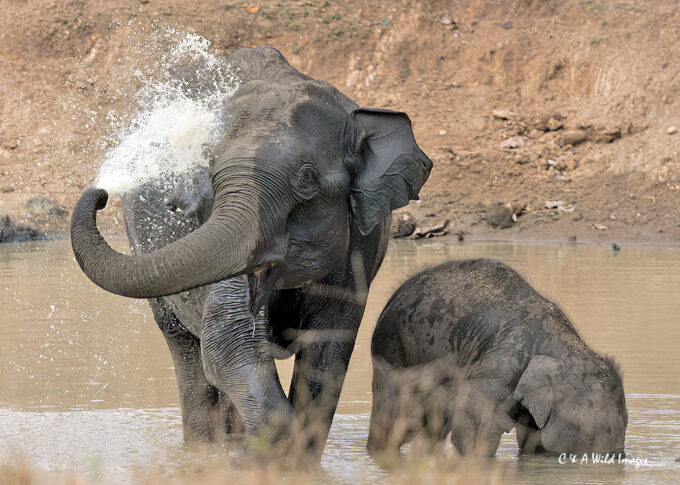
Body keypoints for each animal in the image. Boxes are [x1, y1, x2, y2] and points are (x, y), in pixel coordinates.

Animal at [70, 46, 433, 458]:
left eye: (308, 179)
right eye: (210, 175)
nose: (101, 192)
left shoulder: (360, 242)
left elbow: (327, 352)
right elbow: (227, 340)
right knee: (186, 350)